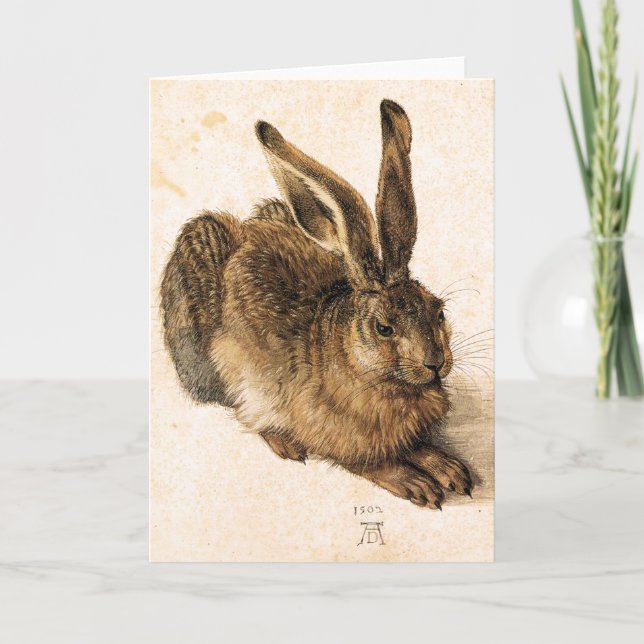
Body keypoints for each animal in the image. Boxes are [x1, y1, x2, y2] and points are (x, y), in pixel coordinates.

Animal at [161, 99, 472, 509]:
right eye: (384, 328)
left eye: (439, 311)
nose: (435, 363)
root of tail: (246, 231)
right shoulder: (334, 436)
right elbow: (373, 463)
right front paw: (417, 483)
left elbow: (419, 447)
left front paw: (451, 469)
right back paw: (282, 442)